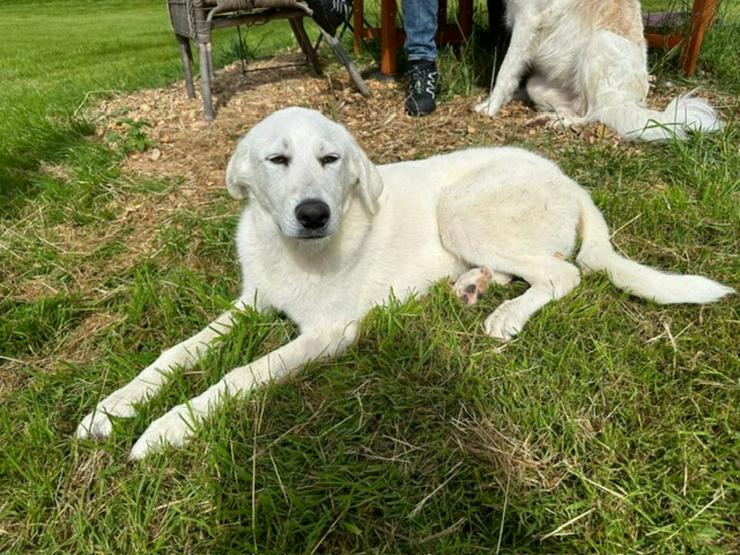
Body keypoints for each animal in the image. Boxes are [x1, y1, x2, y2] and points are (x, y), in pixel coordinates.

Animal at [76, 108, 736, 460]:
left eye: (332, 160)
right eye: (277, 161)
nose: (313, 214)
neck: (294, 253)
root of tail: (571, 180)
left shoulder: (327, 334)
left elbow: (240, 375)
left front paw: (169, 428)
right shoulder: (251, 303)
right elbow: (174, 353)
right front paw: (112, 407)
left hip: (461, 207)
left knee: (564, 272)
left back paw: (506, 314)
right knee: (527, 268)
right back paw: (473, 286)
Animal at [474, 0, 724, 141]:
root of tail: (631, 103)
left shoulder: (529, 19)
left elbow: (505, 69)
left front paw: (489, 107)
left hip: (598, 44)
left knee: (593, 113)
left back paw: (561, 122)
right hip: (537, 85)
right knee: (578, 109)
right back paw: (551, 118)